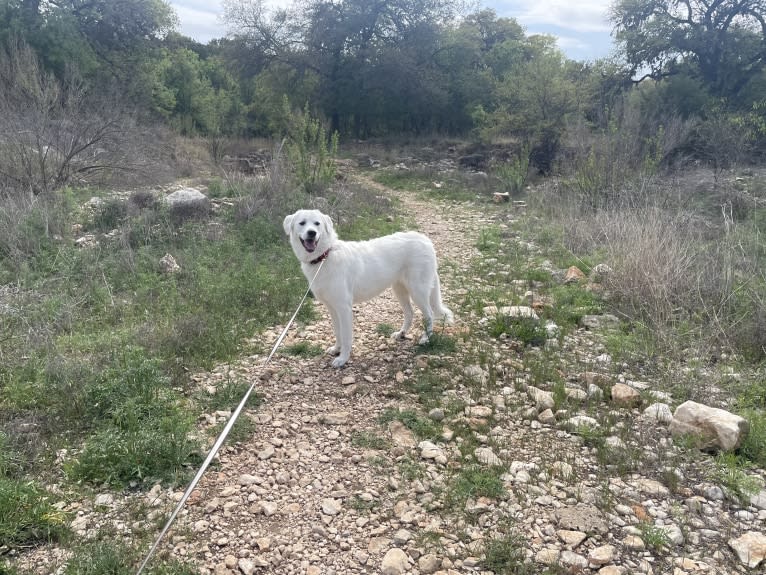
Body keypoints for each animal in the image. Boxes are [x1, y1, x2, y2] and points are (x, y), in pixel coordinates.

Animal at [286, 209, 456, 366]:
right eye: (302, 223)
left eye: (317, 224)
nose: (312, 233)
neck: (324, 256)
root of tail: (425, 239)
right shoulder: (332, 308)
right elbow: (338, 332)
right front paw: (336, 349)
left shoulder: (344, 308)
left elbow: (346, 337)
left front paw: (343, 359)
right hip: (399, 289)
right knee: (410, 313)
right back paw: (401, 334)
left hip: (418, 290)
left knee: (429, 315)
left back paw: (426, 339)